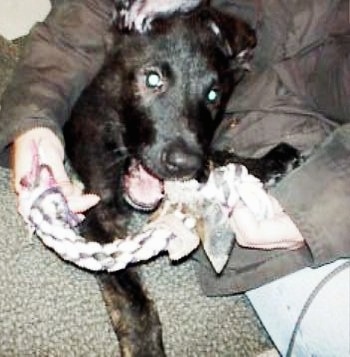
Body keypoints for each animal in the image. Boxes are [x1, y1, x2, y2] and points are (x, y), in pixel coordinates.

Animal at [63, 5, 298, 356]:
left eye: (213, 95)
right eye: (152, 79)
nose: (185, 164)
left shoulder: (202, 151)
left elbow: (219, 158)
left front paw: (266, 163)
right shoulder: (97, 211)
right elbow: (129, 292)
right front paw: (144, 345)